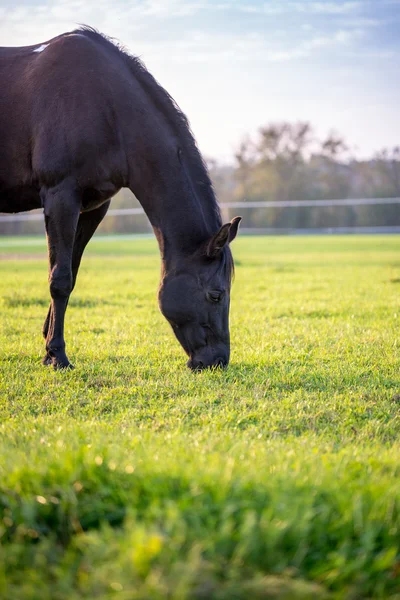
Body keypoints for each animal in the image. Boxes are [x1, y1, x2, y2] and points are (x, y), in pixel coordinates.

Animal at [0, 30, 241, 372]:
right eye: (216, 295)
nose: (217, 361)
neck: (104, 106)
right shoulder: (61, 197)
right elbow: (59, 279)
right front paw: (57, 355)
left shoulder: (93, 207)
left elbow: (70, 273)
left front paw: (47, 346)